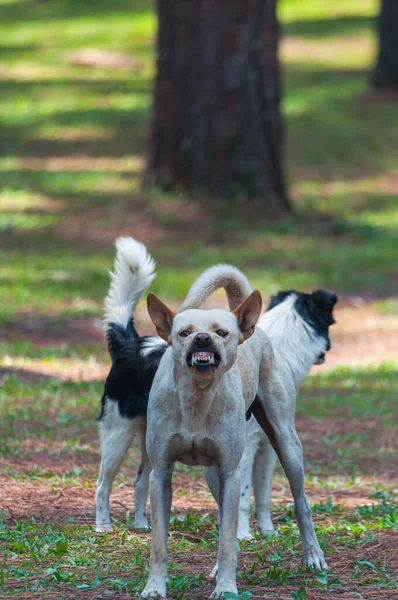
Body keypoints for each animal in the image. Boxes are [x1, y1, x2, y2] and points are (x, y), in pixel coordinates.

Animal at [95, 237, 338, 532]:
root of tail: (129, 345)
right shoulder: (243, 450)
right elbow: (243, 496)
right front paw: (244, 533)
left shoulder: (267, 447)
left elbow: (263, 494)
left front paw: (267, 530)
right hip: (117, 434)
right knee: (102, 485)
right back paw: (102, 525)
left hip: (150, 441)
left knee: (140, 480)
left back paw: (142, 525)